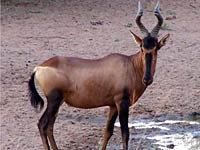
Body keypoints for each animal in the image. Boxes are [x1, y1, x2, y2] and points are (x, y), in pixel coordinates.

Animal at [28, 1, 169, 150]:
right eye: (142, 47)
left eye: (156, 48)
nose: (147, 79)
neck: (130, 64)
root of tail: (39, 68)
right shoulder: (122, 102)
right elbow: (125, 133)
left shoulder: (113, 105)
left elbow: (108, 131)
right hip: (54, 100)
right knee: (42, 124)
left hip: (58, 102)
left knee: (50, 126)